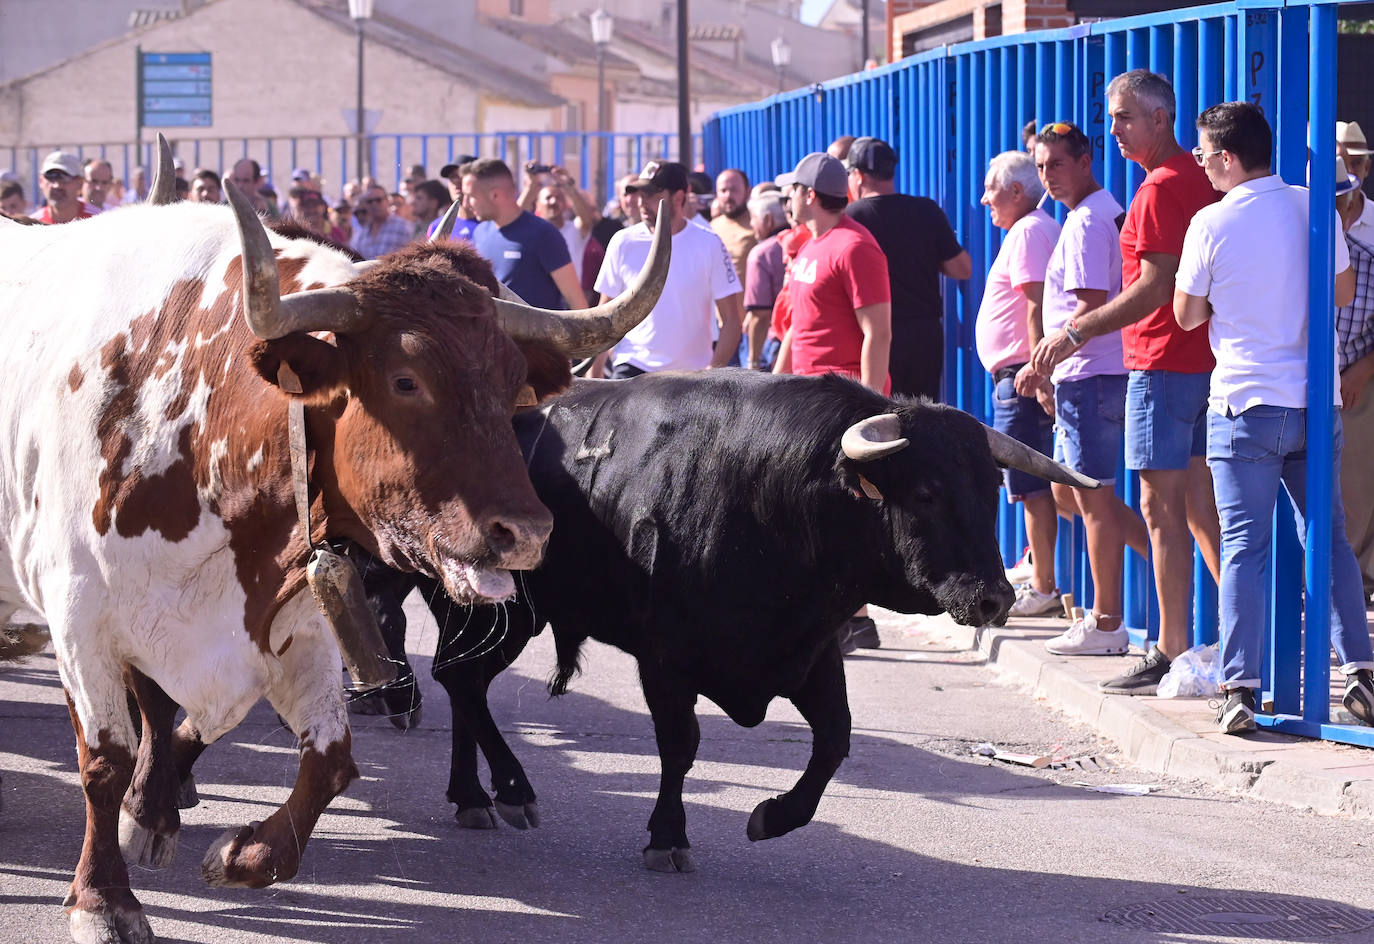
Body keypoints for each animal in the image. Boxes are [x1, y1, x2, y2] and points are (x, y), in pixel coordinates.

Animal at [354, 373, 1093, 873]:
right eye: (927, 492)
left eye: (990, 491)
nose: (992, 599)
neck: (777, 502)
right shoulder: (665, 660)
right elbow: (680, 745)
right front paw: (668, 836)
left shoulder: (809, 652)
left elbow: (834, 741)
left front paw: (773, 816)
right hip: (500, 613)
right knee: (462, 683)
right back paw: (510, 789)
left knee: (462, 684)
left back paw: (472, 796)